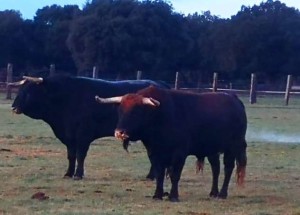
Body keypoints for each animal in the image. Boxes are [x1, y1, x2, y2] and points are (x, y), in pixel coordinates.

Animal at [11, 75, 169, 180]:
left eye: (29, 91)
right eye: (20, 89)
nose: (13, 107)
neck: (67, 99)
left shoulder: (83, 136)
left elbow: (80, 155)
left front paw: (78, 175)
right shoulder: (69, 138)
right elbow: (71, 156)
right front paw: (68, 173)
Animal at [95, 85, 246, 202]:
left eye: (136, 111)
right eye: (120, 110)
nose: (119, 132)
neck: (160, 116)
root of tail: (235, 99)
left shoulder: (179, 153)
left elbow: (175, 174)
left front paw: (173, 196)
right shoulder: (154, 153)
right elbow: (159, 173)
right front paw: (157, 195)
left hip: (233, 147)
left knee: (228, 168)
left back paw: (222, 194)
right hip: (211, 149)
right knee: (216, 168)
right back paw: (213, 192)